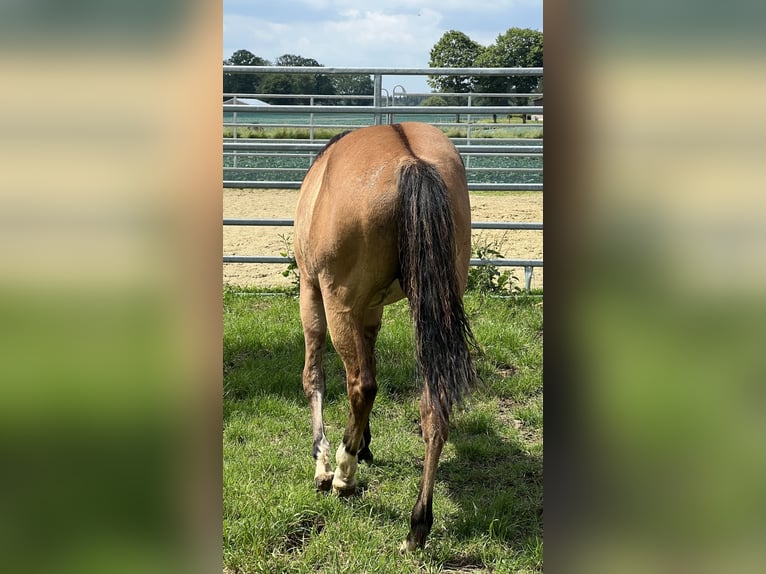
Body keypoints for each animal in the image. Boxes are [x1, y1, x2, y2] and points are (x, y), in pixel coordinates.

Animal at [294, 122, 477, 551]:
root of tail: (411, 159)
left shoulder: (312, 293)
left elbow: (315, 377)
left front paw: (323, 461)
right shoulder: (371, 310)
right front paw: (364, 442)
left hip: (337, 303)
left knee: (362, 384)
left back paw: (344, 474)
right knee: (433, 406)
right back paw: (418, 525)